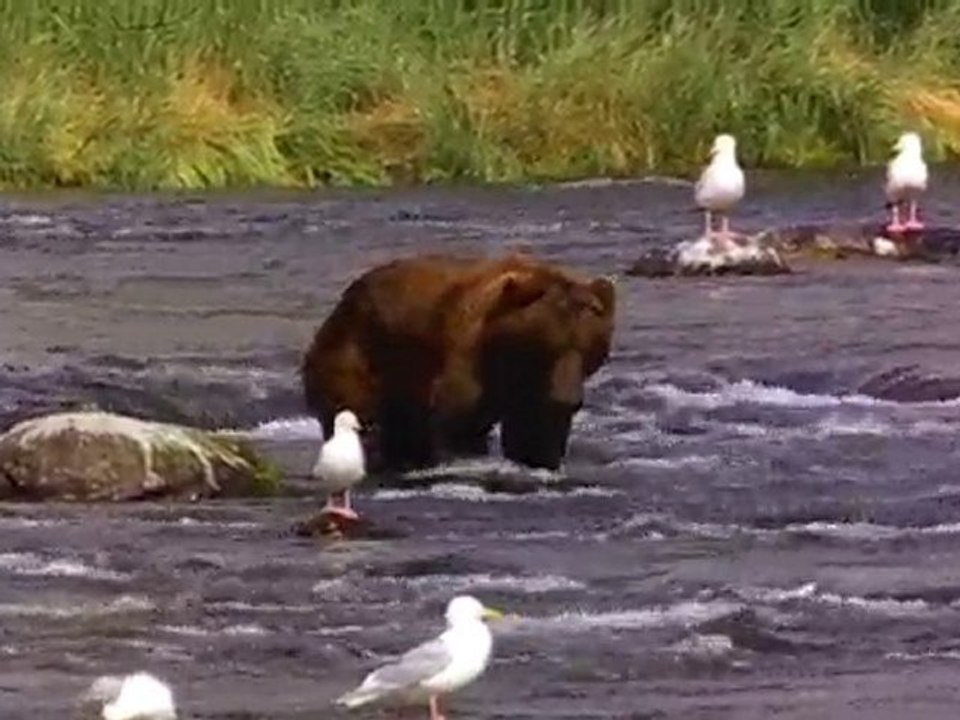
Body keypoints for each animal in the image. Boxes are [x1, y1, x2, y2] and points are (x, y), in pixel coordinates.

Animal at [301, 253, 616, 471]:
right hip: (359, 357)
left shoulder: (534, 392)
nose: (568, 399)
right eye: (550, 344)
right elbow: (459, 424)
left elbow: (536, 432)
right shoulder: (466, 359)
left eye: (590, 347)